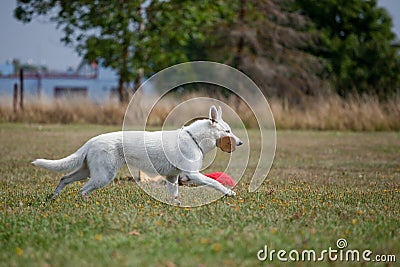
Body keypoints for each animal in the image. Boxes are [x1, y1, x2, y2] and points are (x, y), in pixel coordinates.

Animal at [32, 105, 242, 202]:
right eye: (227, 131)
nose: (240, 143)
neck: (194, 138)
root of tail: (92, 141)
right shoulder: (193, 174)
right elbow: (215, 183)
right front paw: (229, 192)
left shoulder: (173, 177)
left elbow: (174, 195)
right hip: (103, 176)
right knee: (82, 190)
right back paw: (84, 204)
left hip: (87, 171)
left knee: (65, 178)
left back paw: (53, 197)